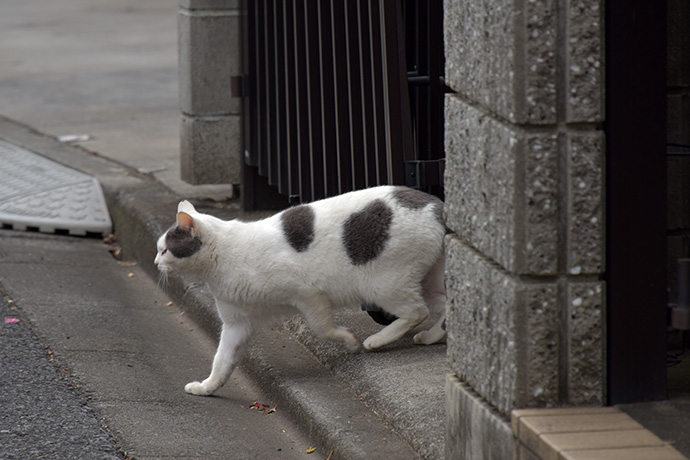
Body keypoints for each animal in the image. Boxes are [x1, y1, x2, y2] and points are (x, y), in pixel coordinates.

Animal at [154, 185, 446, 398]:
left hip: (384, 286)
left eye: (165, 250)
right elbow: (222, 360)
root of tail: (438, 204)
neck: (223, 260)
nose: (156, 262)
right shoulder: (237, 323)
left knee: (417, 311)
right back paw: (431, 336)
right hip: (425, 282)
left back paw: (378, 340)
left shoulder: (308, 294)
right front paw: (207, 387)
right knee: (444, 308)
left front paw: (350, 340)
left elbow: (323, 329)